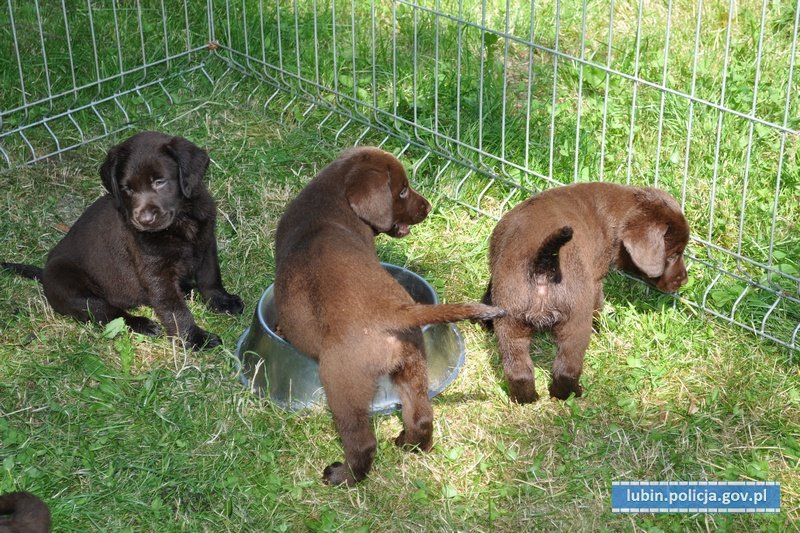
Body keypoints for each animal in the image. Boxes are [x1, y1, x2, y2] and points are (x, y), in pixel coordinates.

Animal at [1, 132, 242, 350]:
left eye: (160, 182)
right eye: (127, 188)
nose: (144, 220)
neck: (181, 220)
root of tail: (43, 274)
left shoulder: (206, 243)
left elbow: (210, 277)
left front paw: (222, 301)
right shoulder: (156, 272)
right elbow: (173, 308)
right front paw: (194, 338)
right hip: (74, 291)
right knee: (108, 312)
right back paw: (142, 323)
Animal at [272, 147, 504, 486]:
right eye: (403, 189)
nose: (428, 207)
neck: (328, 205)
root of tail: (396, 313)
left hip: (342, 382)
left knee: (363, 442)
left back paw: (343, 475)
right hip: (412, 366)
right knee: (421, 417)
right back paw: (410, 445)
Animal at [484, 181, 692, 402]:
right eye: (673, 255)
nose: (684, 280)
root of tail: (543, 264)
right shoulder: (595, 280)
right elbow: (598, 305)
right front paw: (601, 327)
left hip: (510, 320)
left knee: (518, 370)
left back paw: (525, 399)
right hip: (574, 320)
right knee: (566, 368)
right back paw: (569, 393)